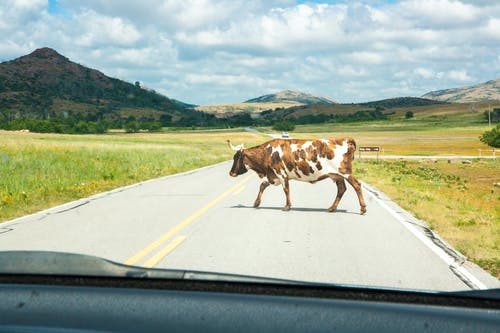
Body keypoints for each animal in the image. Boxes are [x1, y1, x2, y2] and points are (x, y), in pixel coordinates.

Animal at [228, 137, 368, 213]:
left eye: (236, 158)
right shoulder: (273, 176)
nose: (231, 173)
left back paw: (363, 208)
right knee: (342, 189)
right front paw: (256, 203)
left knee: (357, 185)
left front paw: (287, 206)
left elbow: (286, 189)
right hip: (336, 175)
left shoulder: (281, 174)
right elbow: (262, 185)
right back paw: (331, 208)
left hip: (345, 172)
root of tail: (346, 139)